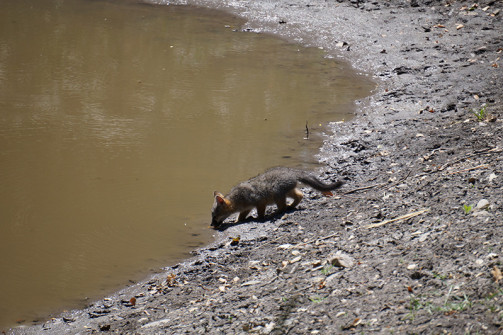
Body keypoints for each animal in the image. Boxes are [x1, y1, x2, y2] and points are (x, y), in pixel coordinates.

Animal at [211, 167, 344, 228]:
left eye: (214, 216)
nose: (212, 225)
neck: (237, 198)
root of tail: (291, 172)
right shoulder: (247, 207)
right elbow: (241, 215)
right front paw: (237, 221)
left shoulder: (259, 202)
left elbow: (260, 212)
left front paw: (259, 218)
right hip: (287, 192)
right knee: (300, 195)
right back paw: (292, 206)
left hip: (277, 194)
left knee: (283, 207)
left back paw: (276, 212)